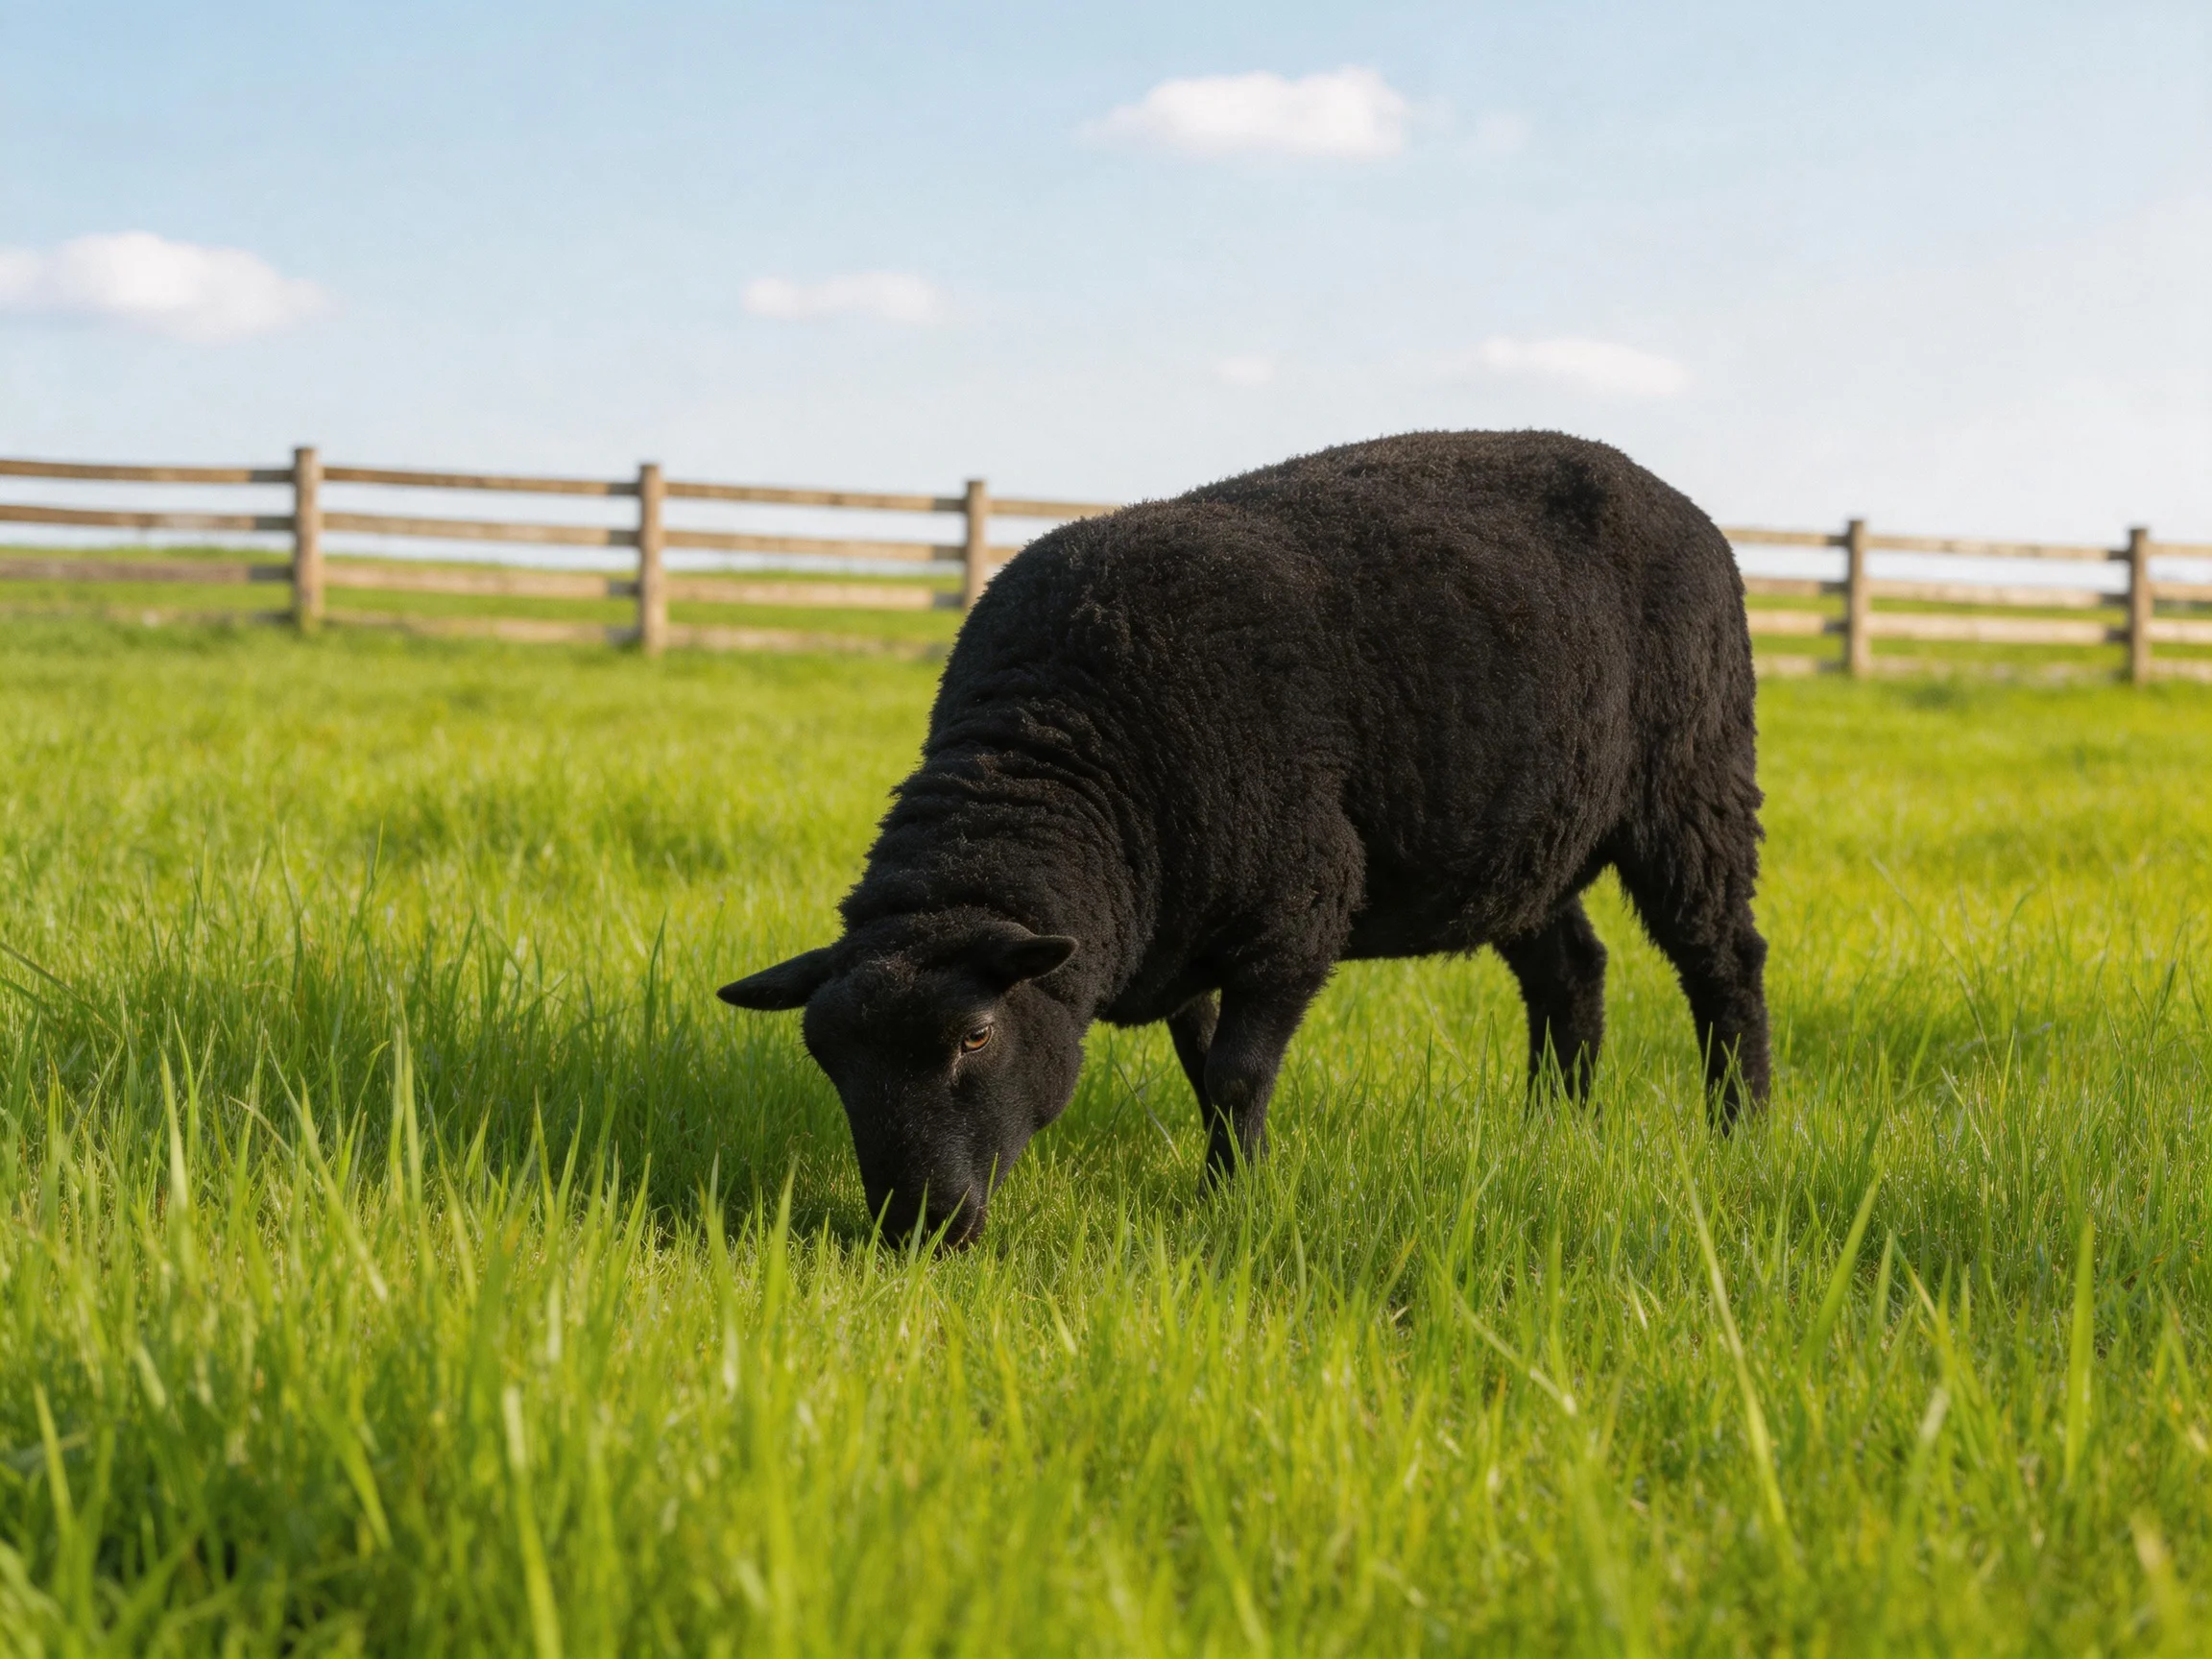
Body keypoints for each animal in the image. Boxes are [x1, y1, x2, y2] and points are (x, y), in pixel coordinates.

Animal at [720, 430, 1770, 1246]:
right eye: (825, 1056)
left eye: (976, 1035)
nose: (916, 1230)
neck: (1068, 747)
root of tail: (1678, 503)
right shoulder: (1178, 932)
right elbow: (1202, 1069)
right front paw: (1237, 1172)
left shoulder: (1298, 909)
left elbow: (1235, 1072)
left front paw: (1229, 1201)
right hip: (1517, 840)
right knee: (1572, 970)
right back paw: (1554, 1127)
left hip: (1695, 781)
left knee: (1724, 960)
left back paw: (1741, 1129)